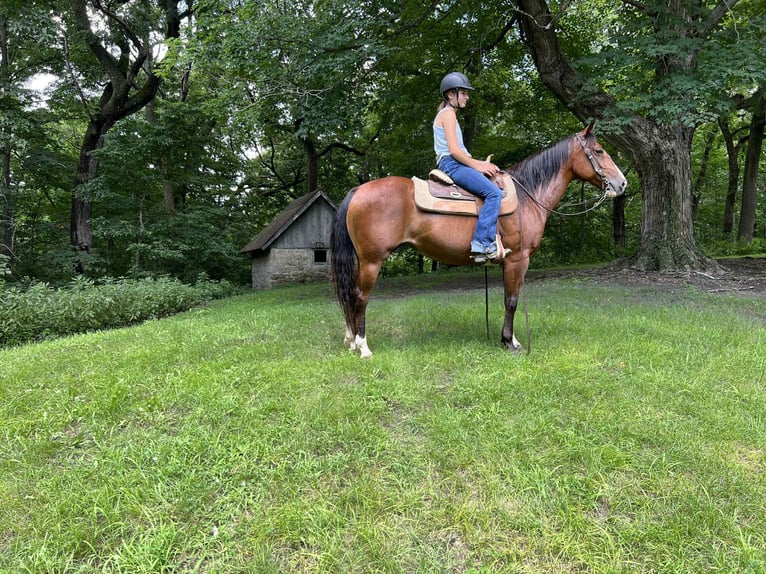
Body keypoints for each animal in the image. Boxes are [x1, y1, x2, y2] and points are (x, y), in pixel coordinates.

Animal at [330, 123, 627, 358]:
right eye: (599, 150)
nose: (622, 183)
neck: (527, 196)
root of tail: (358, 190)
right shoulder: (518, 259)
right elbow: (512, 300)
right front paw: (510, 342)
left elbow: (507, 298)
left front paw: (508, 339)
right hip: (372, 261)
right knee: (360, 296)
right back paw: (363, 347)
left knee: (351, 295)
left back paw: (352, 342)